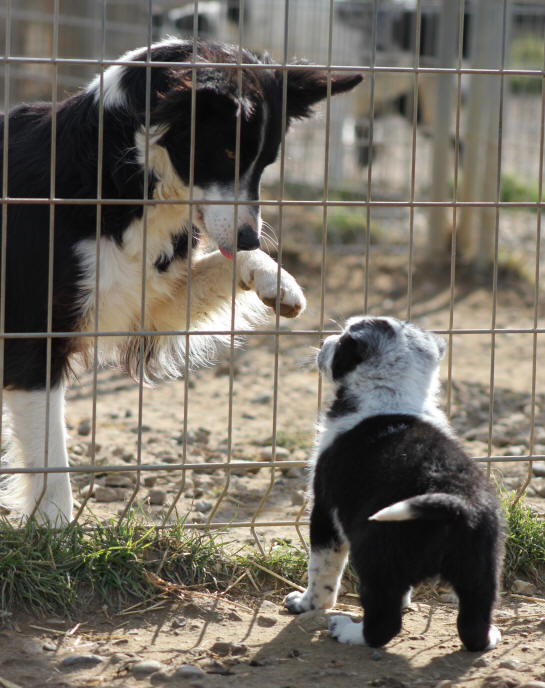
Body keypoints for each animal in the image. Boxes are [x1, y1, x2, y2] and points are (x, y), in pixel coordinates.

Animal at [0, 39, 362, 520]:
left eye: (265, 162)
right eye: (227, 153)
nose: (250, 235)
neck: (121, 176)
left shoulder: (140, 302)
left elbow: (211, 270)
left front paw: (275, 279)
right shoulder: (34, 335)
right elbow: (50, 464)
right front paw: (56, 532)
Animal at [284, 316, 502, 652]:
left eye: (343, 340)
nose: (323, 342)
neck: (391, 396)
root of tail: (453, 502)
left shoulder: (324, 512)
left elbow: (321, 570)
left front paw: (306, 605)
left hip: (377, 558)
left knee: (383, 624)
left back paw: (348, 631)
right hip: (481, 567)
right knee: (473, 625)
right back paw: (489, 637)